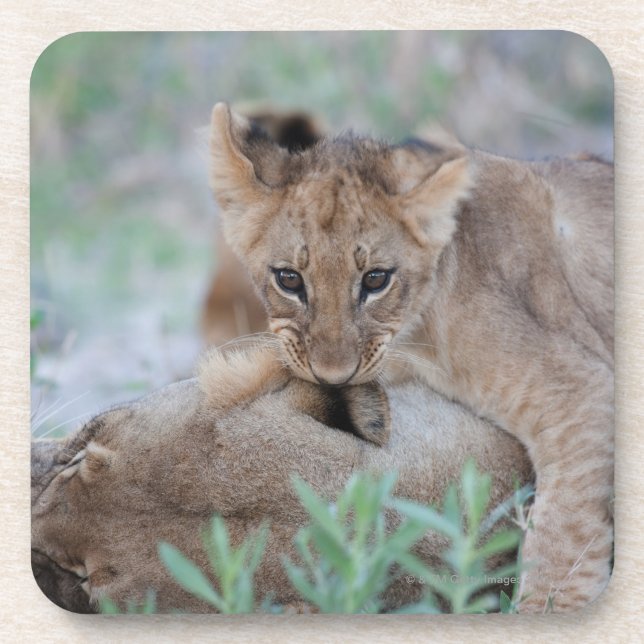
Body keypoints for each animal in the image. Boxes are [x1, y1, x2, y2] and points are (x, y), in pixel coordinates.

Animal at [208, 103, 614, 612]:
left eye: (376, 279)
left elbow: (562, 539)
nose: (333, 376)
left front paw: (546, 610)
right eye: (289, 279)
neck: (416, 331)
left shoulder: (581, 391)